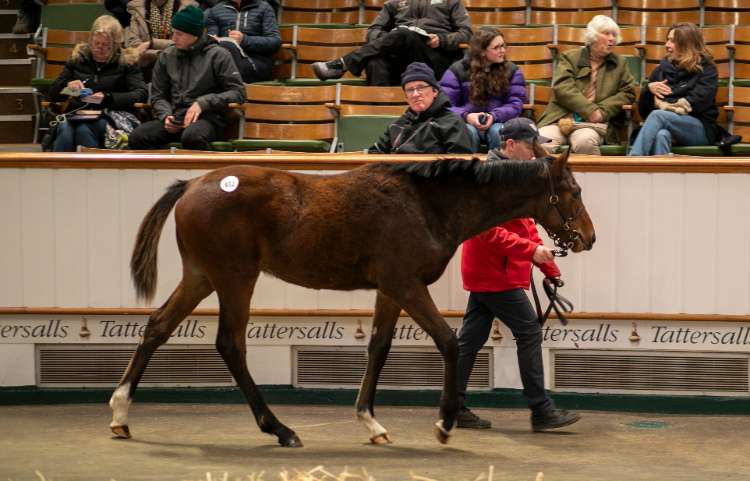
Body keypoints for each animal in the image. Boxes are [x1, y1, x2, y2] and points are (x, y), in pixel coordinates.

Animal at [109, 149, 595, 448]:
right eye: (574, 191)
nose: (589, 237)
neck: (427, 205)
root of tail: (192, 184)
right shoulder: (406, 284)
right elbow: (449, 342)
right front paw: (443, 424)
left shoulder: (390, 290)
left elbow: (378, 348)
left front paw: (372, 421)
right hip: (234, 278)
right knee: (230, 343)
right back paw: (280, 429)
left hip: (201, 276)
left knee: (158, 326)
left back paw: (120, 415)